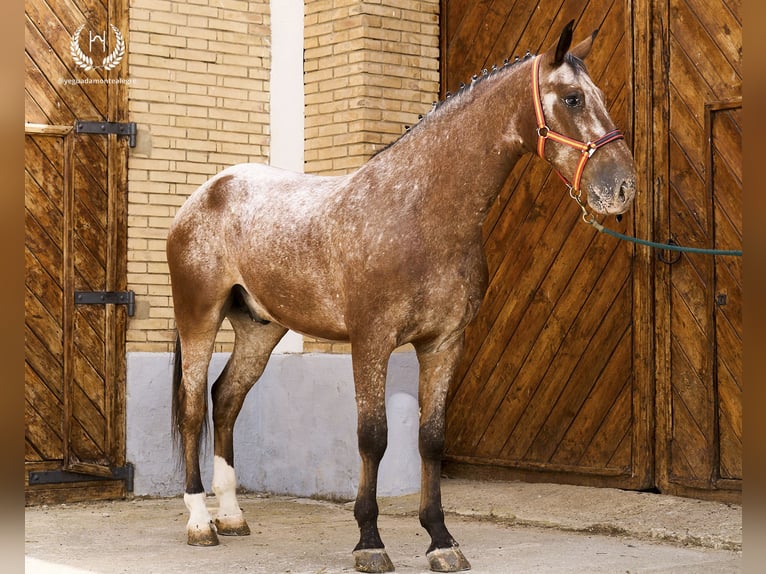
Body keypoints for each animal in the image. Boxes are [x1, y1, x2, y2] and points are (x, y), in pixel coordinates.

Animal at [168, 20, 636, 572]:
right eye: (572, 98)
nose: (623, 186)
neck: (418, 211)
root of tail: (206, 194)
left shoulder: (443, 343)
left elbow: (430, 441)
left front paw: (440, 540)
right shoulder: (371, 342)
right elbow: (373, 438)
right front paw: (370, 540)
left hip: (260, 329)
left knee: (226, 399)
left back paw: (233, 515)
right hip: (199, 317)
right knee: (193, 406)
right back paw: (201, 522)